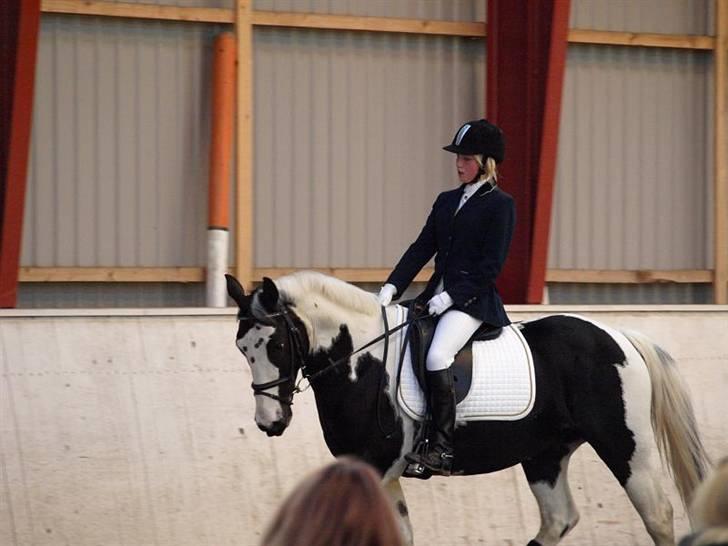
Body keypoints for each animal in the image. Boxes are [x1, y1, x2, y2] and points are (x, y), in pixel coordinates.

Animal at [225, 270, 708, 540]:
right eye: (242, 348)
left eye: (277, 344)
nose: (270, 422)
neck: (364, 361)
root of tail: (620, 336)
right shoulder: (377, 471)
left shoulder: (376, 467)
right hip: (545, 454)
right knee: (559, 519)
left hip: (626, 445)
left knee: (658, 515)